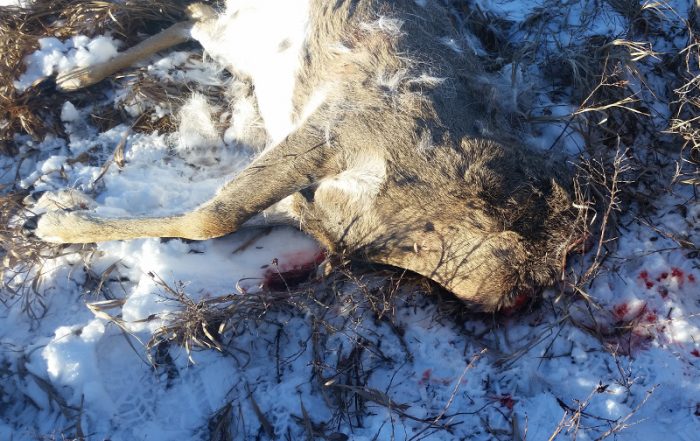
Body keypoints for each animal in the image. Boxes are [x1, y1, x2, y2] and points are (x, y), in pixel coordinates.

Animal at [24, 0, 582, 312]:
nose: (520, 296)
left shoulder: (305, 207)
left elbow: (214, 216)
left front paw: (55, 214)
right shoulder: (338, 127)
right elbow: (214, 216)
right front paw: (48, 219)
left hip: (238, 41)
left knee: (195, 18)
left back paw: (68, 78)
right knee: (196, 16)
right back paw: (67, 79)